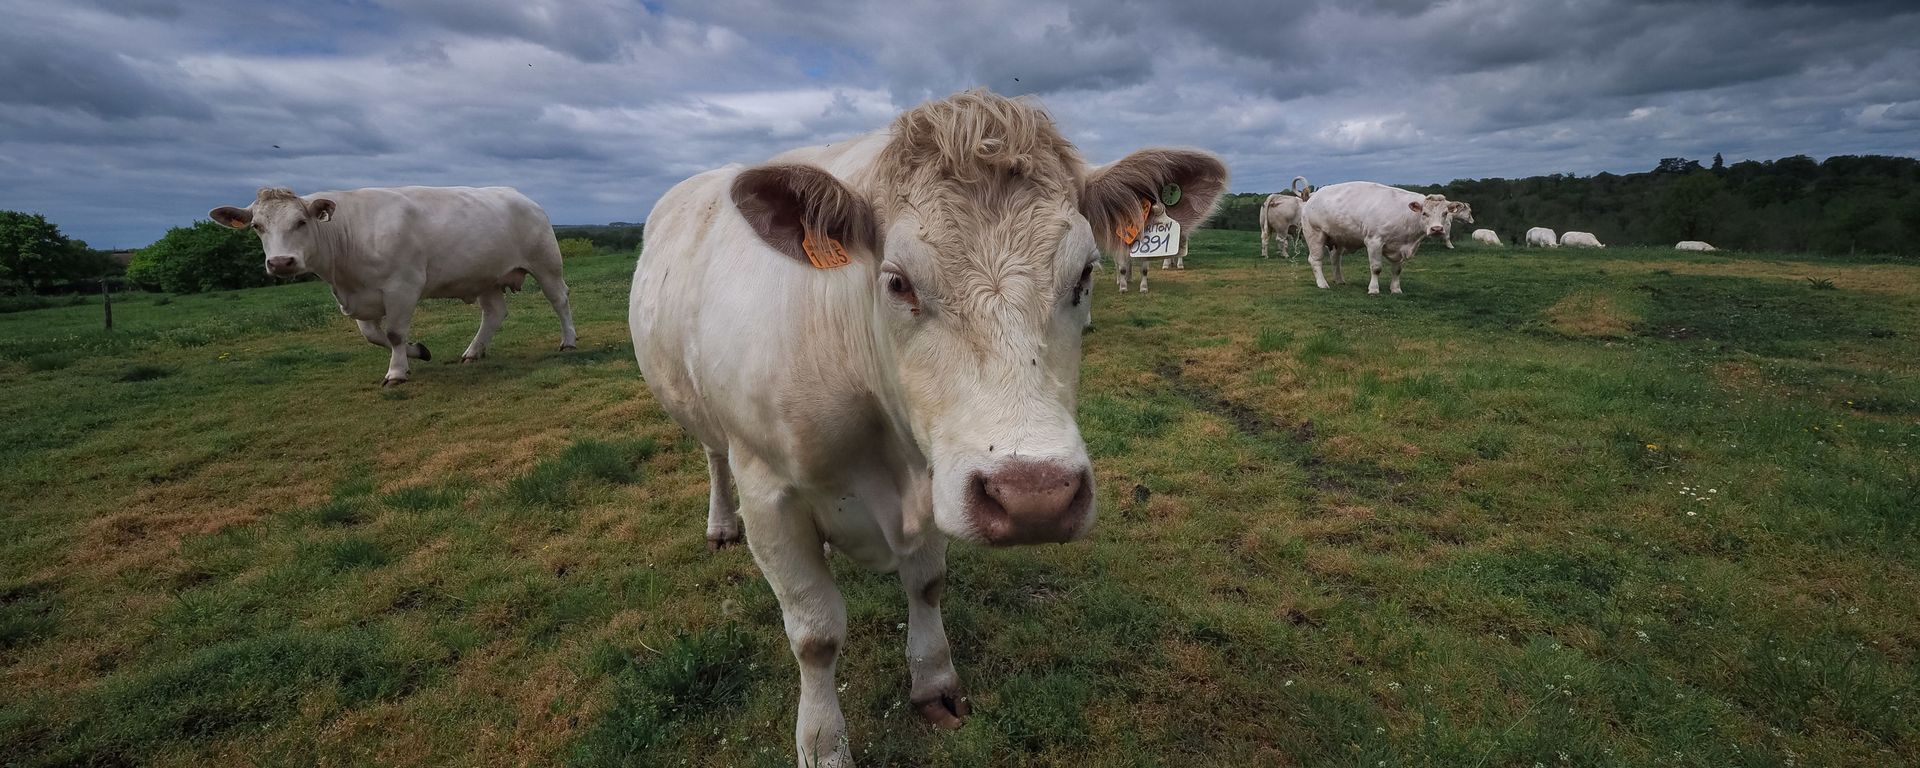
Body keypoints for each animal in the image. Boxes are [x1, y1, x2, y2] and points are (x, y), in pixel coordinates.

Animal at [209, 186, 575, 386]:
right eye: (257, 226)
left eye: (301, 222)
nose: (281, 262)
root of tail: (519, 196)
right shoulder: (361, 297)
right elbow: (374, 335)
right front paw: (418, 352)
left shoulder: (403, 287)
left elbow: (395, 333)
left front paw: (397, 372)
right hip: (484, 275)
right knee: (494, 313)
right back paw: (473, 352)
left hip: (546, 263)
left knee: (559, 300)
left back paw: (568, 341)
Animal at [629, 89, 1227, 768]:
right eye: (897, 281)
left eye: (1084, 275)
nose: (1035, 497)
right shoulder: (768, 491)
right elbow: (815, 634)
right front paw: (823, 742)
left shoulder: (941, 473)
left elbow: (928, 584)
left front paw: (934, 680)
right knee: (712, 456)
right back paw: (720, 525)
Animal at [1300, 181, 1461, 294]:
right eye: (1424, 213)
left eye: (1445, 213)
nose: (1437, 229)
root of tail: (1313, 196)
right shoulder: (1374, 241)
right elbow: (1376, 268)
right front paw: (1373, 289)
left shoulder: (1399, 247)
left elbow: (1397, 270)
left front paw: (1396, 289)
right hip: (1315, 234)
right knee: (1315, 260)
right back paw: (1322, 283)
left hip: (1338, 239)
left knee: (1336, 260)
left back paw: (1339, 280)